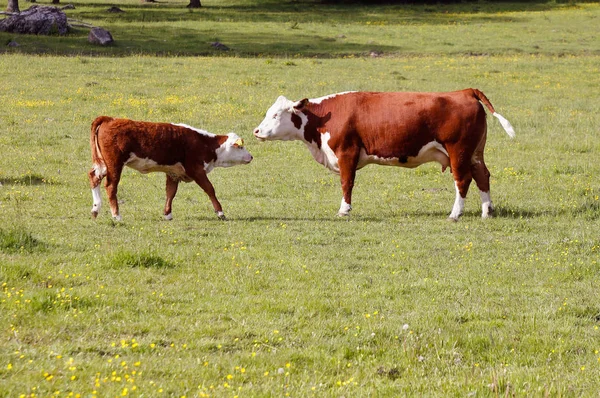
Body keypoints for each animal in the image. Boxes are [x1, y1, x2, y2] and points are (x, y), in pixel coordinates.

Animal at [88, 116, 252, 222]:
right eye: (240, 147)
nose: (251, 156)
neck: (204, 143)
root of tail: (110, 119)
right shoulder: (196, 170)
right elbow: (210, 189)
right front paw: (220, 212)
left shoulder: (173, 173)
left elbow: (170, 193)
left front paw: (167, 214)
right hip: (114, 164)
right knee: (111, 186)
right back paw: (116, 216)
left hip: (103, 164)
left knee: (94, 177)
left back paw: (95, 209)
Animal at [254, 88, 516, 221]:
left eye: (276, 115)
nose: (256, 131)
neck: (324, 120)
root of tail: (465, 91)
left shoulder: (347, 153)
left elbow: (346, 183)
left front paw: (344, 210)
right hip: (474, 153)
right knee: (482, 175)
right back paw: (487, 211)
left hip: (458, 151)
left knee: (463, 180)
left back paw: (455, 214)